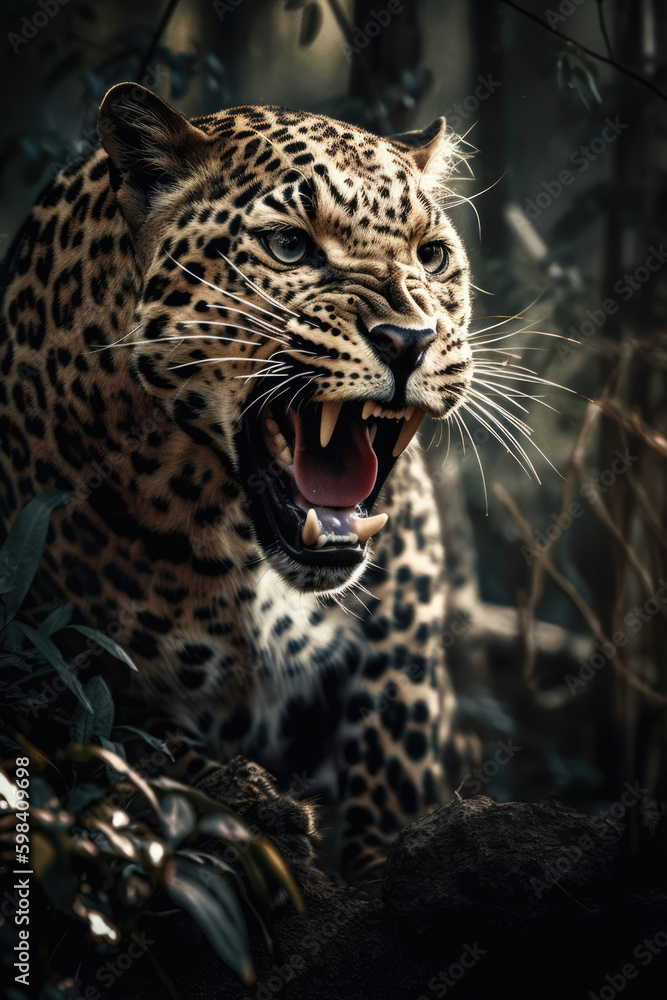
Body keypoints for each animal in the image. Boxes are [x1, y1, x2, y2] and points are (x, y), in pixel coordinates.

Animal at [0, 82, 476, 884]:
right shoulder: (78, 658)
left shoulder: (407, 610)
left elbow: (391, 742)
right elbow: (146, 744)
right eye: (289, 247)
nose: (409, 341)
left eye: (433, 257)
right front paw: (259, 810)